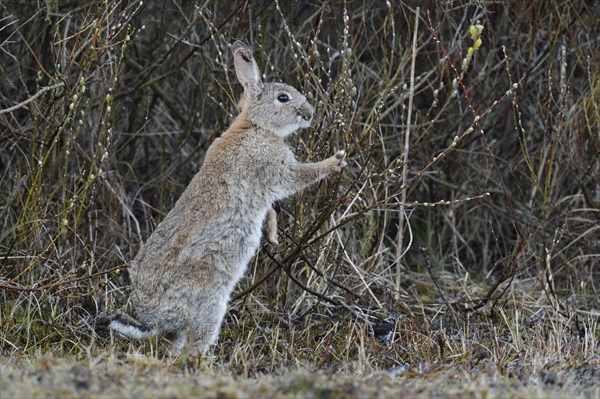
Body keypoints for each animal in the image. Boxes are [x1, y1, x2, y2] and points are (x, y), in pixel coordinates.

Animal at [109, 41, 346, 356]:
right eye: (283, 98)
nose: (309, 113)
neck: (256, 126)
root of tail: (152, 319)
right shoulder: (276, 170)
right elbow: (300, 176)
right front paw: (337, 161)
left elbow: (271, 208)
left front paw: (272, 235)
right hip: (211, 302)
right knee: (192, 344)